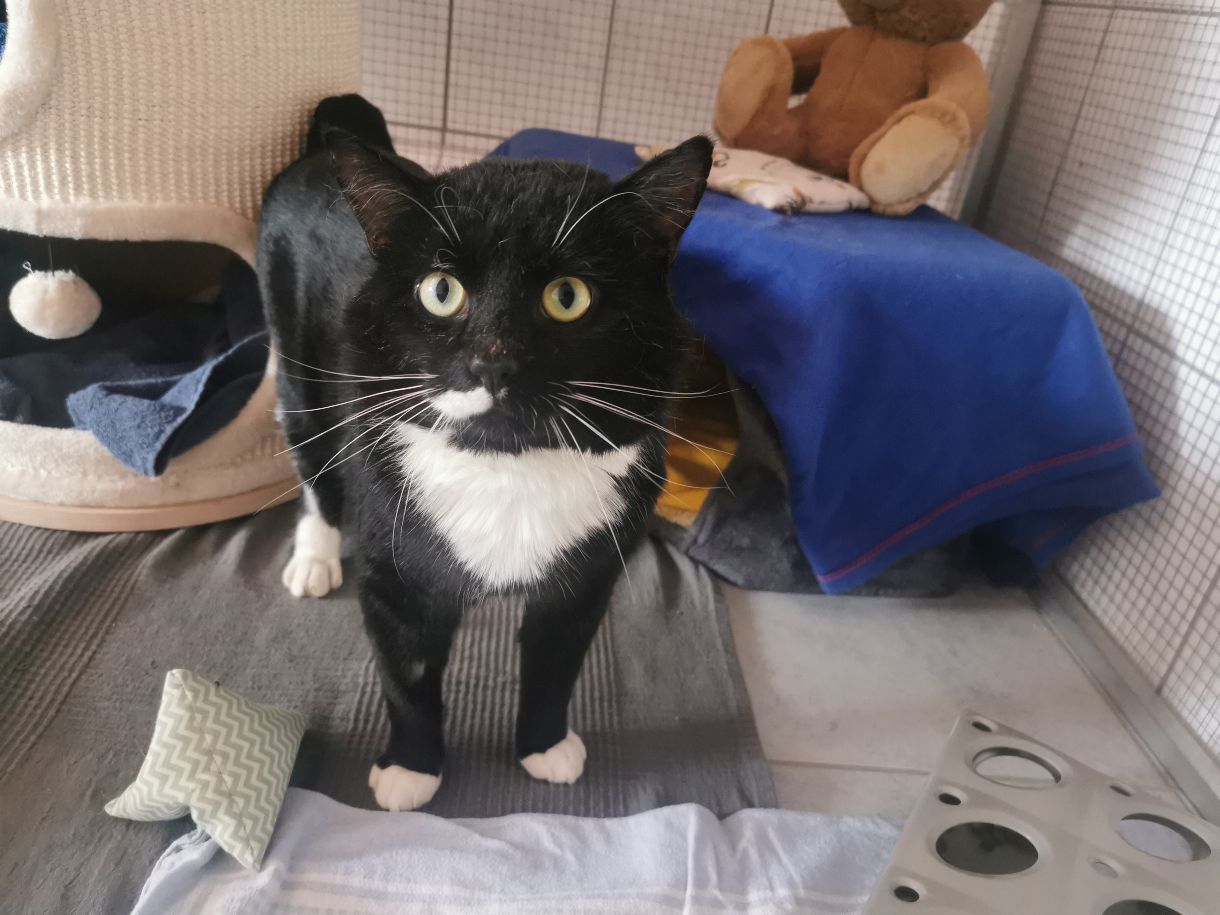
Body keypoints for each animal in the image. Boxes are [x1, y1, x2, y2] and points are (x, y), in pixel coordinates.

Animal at [258, 95, 712, 811]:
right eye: (439, 290)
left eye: (568, 296)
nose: (493, 363)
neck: (506, 464)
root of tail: (326, 143)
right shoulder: (394, 567)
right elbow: (407, 673)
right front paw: (410, 771)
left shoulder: (586, 579)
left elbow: (556, 664)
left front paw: (546, 747)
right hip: (295, 360)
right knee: (313, 463)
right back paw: (315, 558)